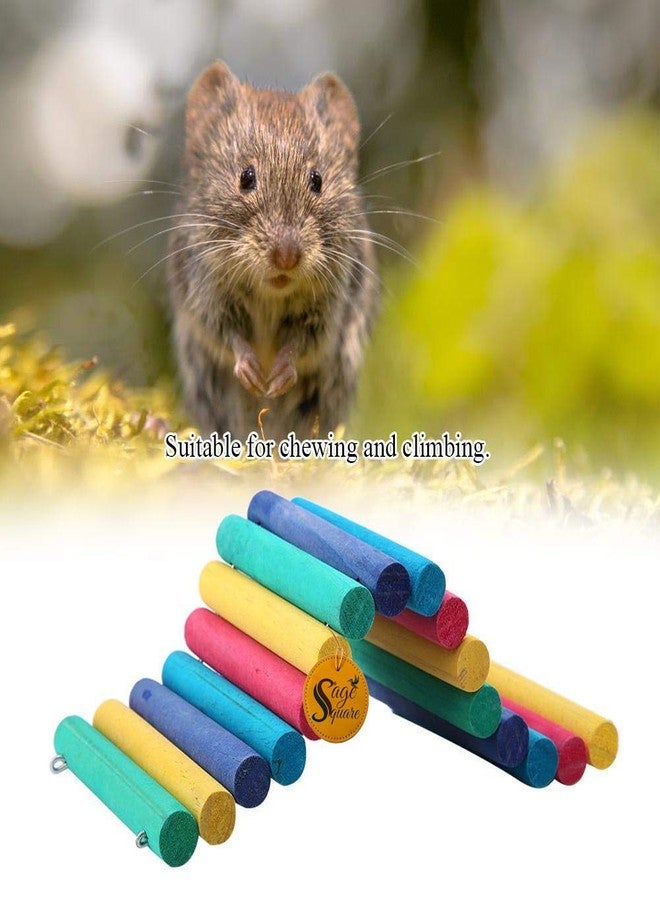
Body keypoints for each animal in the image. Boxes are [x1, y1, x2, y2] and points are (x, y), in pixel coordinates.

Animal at [167, 61, 379, 441]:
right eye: (246, 177)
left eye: (317, 180)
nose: (287, 257)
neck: (271, 293)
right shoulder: (206, 293)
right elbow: (228, 335)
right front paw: (253, 373)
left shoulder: (328, 308)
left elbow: (303, 345)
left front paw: (277, 376)